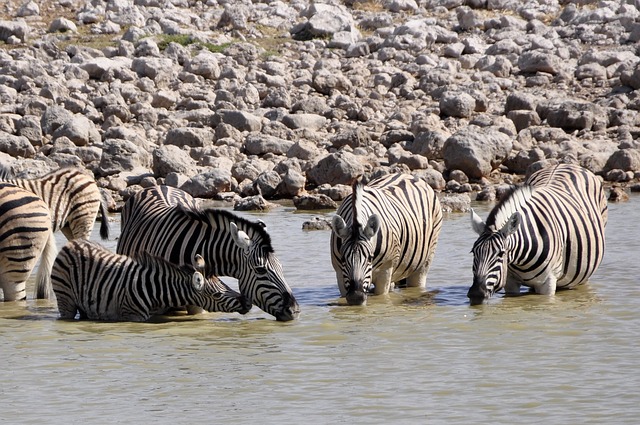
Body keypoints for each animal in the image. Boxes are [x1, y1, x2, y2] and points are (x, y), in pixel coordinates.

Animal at [51, 240, 251, 320]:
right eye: (217, 294)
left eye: (225, 284)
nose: (248, 303)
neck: (156, 289)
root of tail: (72, 243)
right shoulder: (133, 316)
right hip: (65, 299)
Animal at [328, 172, 442, 304]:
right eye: (342, 258)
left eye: (370, 258)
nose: (356, 297)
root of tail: (406, 174)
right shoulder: (339, 273)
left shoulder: (386, 271)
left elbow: (382, 299)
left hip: (424, 261)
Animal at [468, 162, 608, 302]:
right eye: (473, 252)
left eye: (501, 254)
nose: (476, 293)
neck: (520, 259)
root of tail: (564, 163)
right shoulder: (510, 281)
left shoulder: (548, 283)